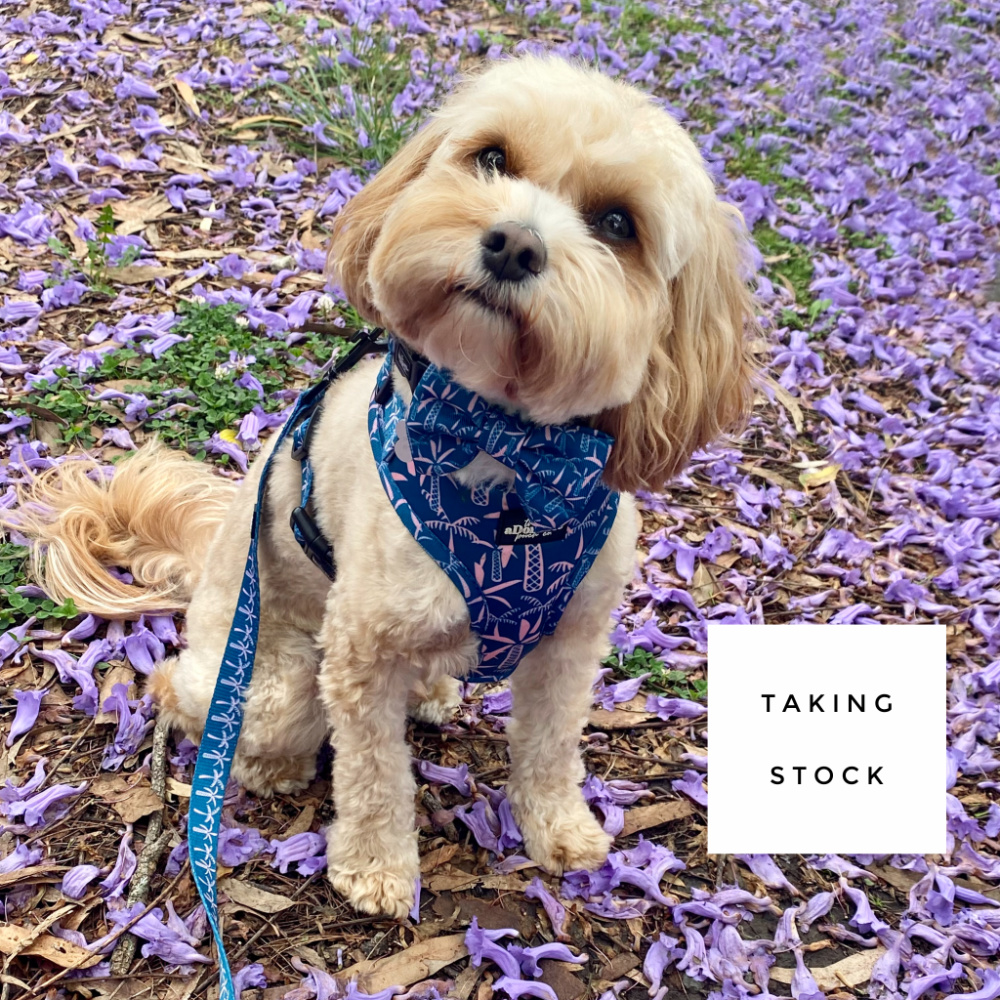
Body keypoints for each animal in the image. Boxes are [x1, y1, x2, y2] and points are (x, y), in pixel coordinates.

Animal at [3, 52, 756, 916]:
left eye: (618, 224)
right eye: (492, 157)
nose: (512, 244)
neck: (507, 460)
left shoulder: (570, 643)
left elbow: (549, 745)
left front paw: (559, 828)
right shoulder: (362, 646)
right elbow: (372, 772)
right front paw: (375, 865)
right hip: (271, 679)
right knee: (184, 694)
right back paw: (267, 761)